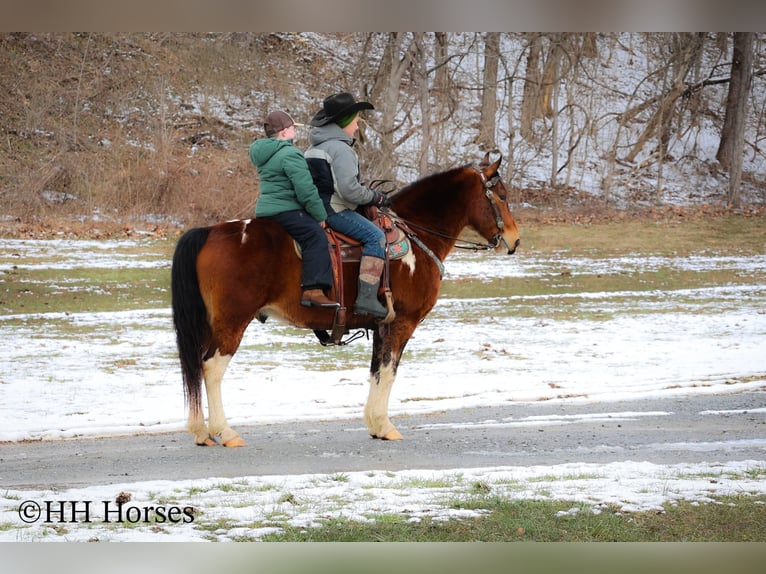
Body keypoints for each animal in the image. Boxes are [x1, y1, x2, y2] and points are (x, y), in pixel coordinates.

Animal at [171, 152, 520, 447]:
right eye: (502, 196)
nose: (515, 240)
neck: (415, 237)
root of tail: (210, 232)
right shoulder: (403, 323)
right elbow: (389, 371)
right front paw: (385, 425)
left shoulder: (382, 326)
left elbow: (376, 370)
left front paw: (375, 425)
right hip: (232, 322)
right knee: (211, 368)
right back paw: (224, 431)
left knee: (195, 366)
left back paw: (200, 430)